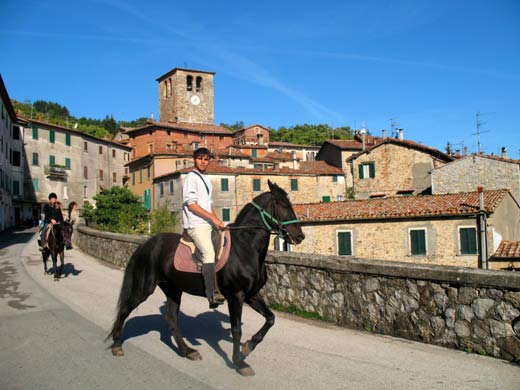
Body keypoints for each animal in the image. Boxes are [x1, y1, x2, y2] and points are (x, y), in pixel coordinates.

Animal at [108, 181, 306, 376]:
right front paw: (238, 362)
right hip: (144, 288)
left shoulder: (251, 295)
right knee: (125, 309)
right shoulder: (236, 296)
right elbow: (237, 329)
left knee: (171, 319)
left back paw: (187, 351)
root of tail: (146, 244)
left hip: (173, 289)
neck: (246, 248)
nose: (300, 236)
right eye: (283, 205)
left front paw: (248, 347)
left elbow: (270, 319)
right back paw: (117, 345)